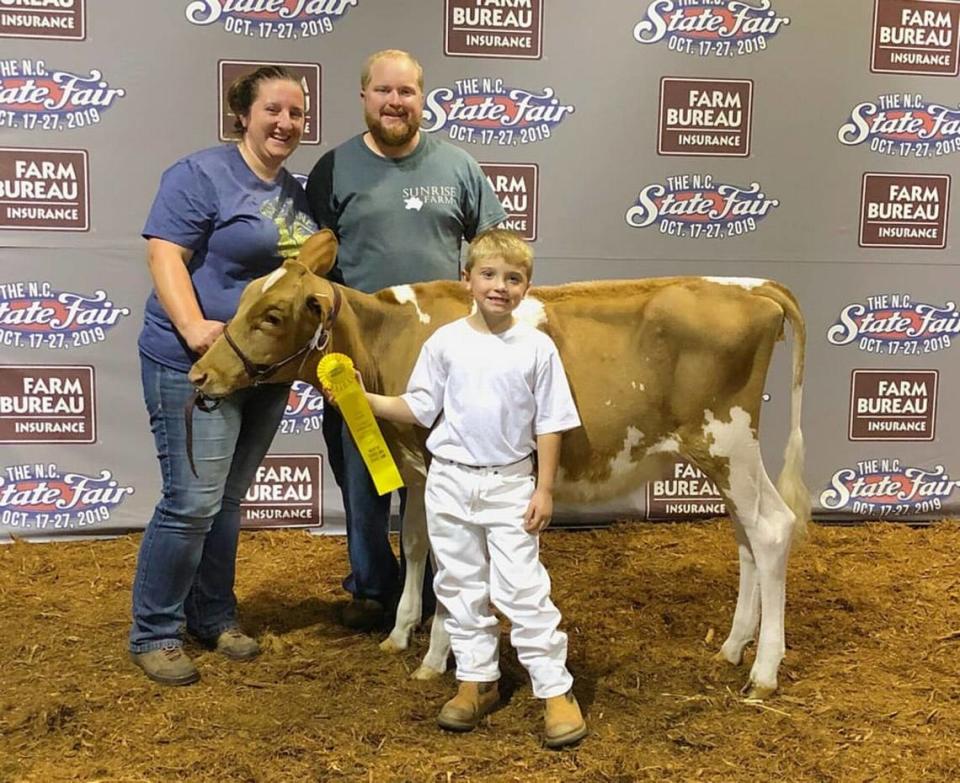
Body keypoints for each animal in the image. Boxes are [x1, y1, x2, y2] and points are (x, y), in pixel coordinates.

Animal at [193, 230, 808, 700]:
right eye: (244, 300)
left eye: (272, 315)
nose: (200, 373)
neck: (390, 337)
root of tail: (750, 287)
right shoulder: (415, 468)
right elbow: (415, 544)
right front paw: (400, 634)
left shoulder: (438, 462)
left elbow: (446, 561)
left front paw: (436, 657)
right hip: (723, 453)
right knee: (746, 535)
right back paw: (732, 647)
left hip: (727, 439)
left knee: (771, 529)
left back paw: (763, 671)